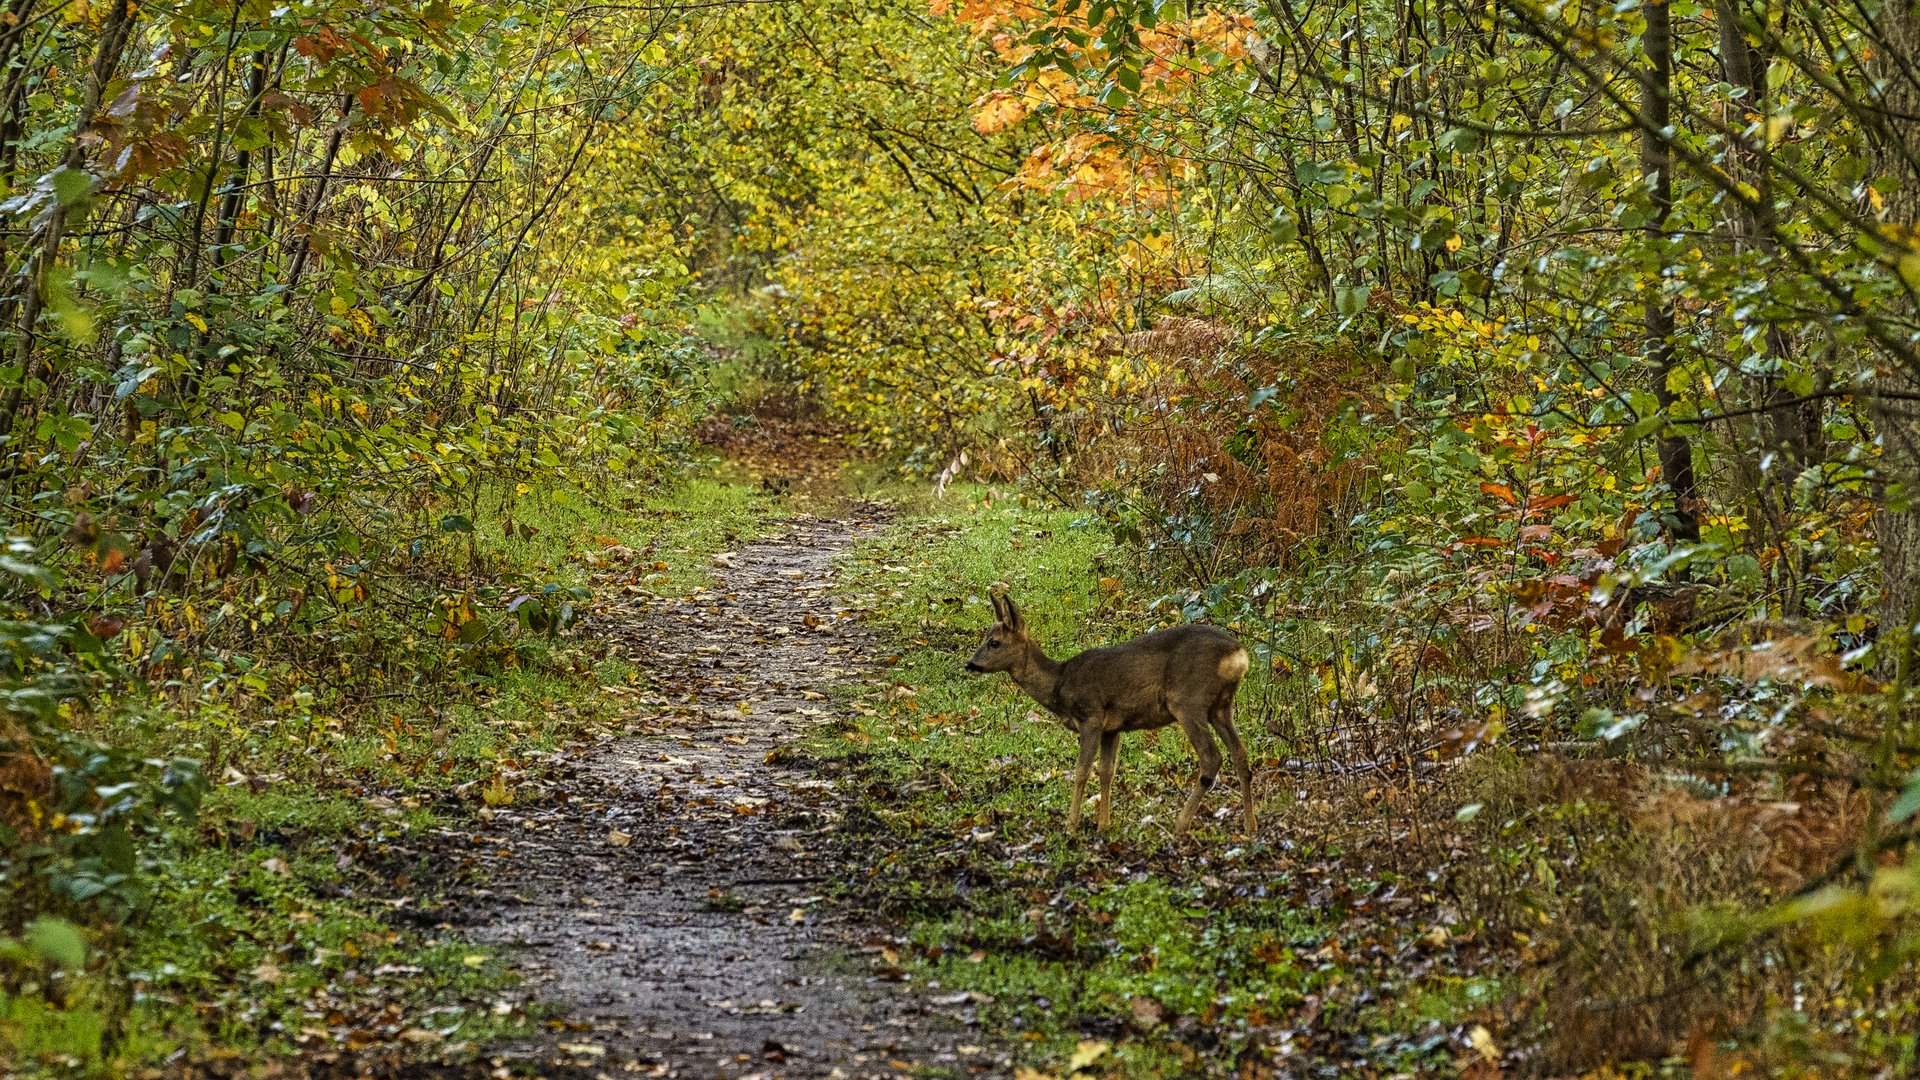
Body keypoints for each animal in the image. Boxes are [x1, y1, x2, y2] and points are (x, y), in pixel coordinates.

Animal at [960, 588, 1259, 834]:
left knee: (1211, 757)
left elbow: (1082, 770)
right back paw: (1250, 826)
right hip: (1221, 706)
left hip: (1188, 700)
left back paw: (1181, 823)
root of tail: (1239, 654)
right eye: (985, 637)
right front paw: (1104, 824)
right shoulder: (1112, 728)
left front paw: (1071, 826)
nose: (970, 664)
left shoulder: (1091, 716)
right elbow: (1107, 771)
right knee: (1240, 753)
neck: (1059, 683)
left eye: (994, 642)